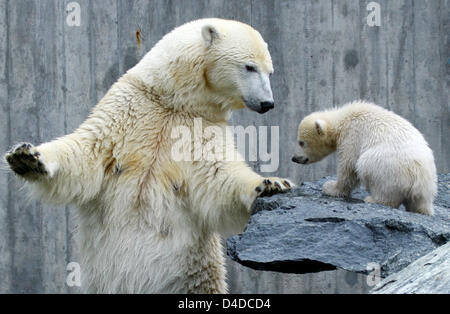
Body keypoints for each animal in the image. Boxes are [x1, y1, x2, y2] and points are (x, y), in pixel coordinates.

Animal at [5, 18, 294, 294]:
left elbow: (219, 176)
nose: (268, 103)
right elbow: (89, 149)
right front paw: (26, 157)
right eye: (249, 67)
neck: (173, 100)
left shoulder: (200, 128)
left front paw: (271, 183)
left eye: (269, 71)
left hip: (195, 276)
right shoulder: (130, 107)